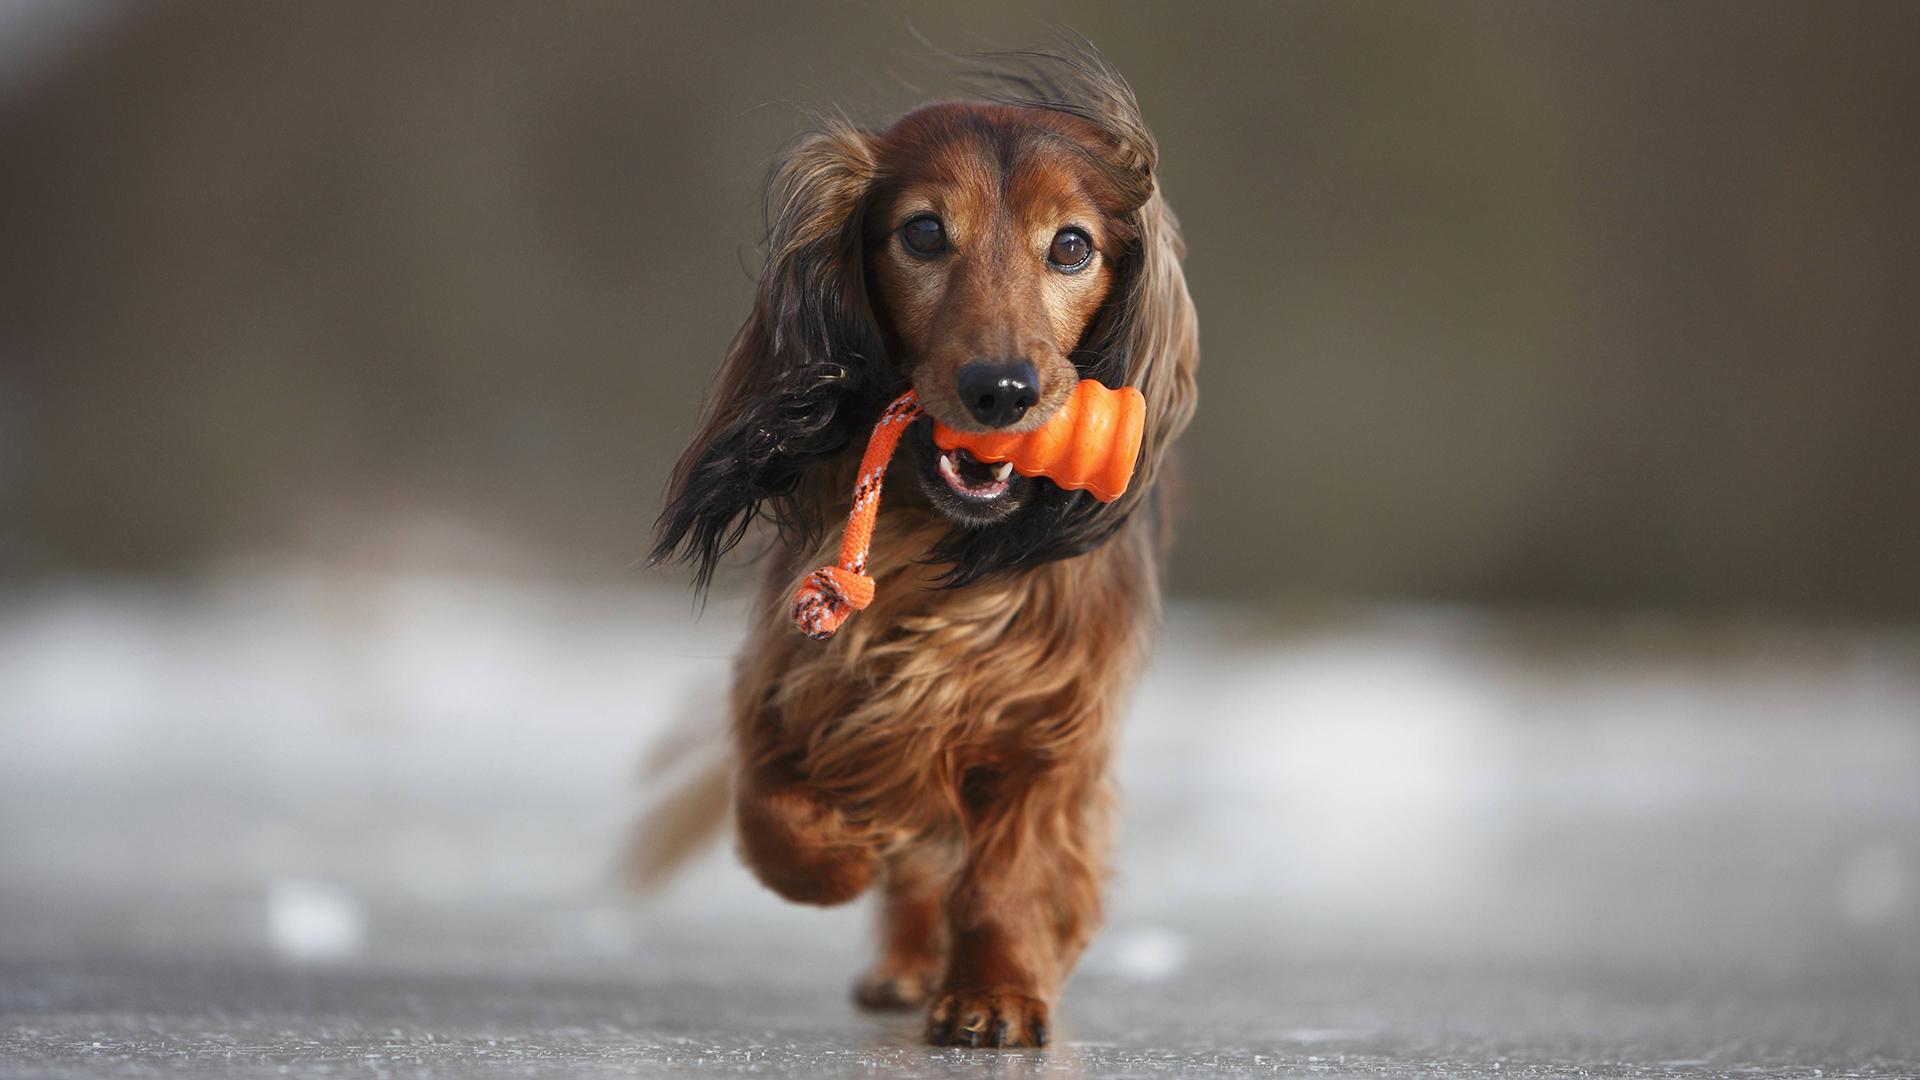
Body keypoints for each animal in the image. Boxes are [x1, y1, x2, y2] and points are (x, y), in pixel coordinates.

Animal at [652, 50, 1190, 1045]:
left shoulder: (1053, 727)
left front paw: (997, 994)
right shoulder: (797, 676)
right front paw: (845, 852)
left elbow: (1009, 878)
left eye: (1070, 246)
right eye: (925, 232)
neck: (949, 554)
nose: (1001, 390)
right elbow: (779, 815)